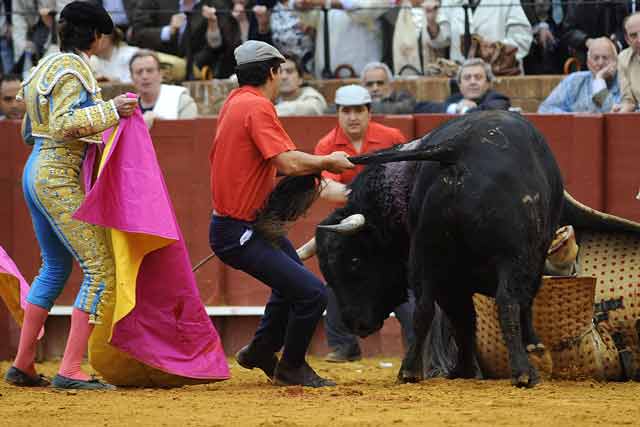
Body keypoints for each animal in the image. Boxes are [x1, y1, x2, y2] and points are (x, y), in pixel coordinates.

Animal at [318, 110, 564, 388]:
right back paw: (524, 372)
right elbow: (518, 304)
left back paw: (416, 370)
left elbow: (459, 317)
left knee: (427, 307)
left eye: (354, 261)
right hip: (512, 257)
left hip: (428, 252)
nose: (355, 324)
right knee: (508, 301)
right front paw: (534, 347)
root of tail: (457, 148)